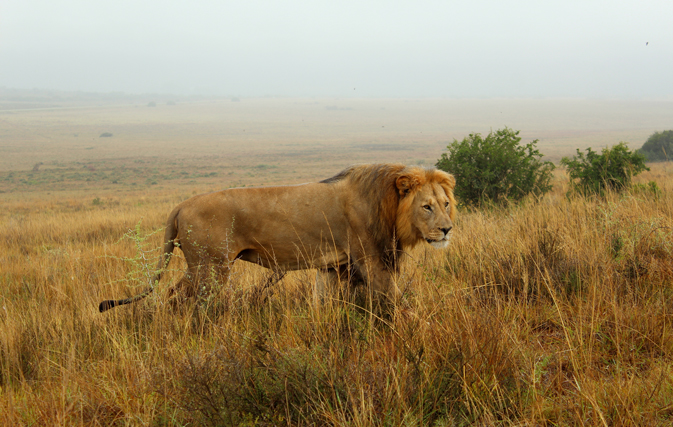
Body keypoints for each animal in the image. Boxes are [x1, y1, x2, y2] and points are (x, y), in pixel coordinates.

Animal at [98, 162, 456, 312]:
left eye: (446, 204)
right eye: (426, 206)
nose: (447, 229)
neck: (389, 205)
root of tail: (181, 205)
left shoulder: (332, 265)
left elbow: (323, 301)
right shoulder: (371, 260)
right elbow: (394, 300)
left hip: (200, 267)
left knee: (173, 293)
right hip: (211, 268)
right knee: (189, 300)